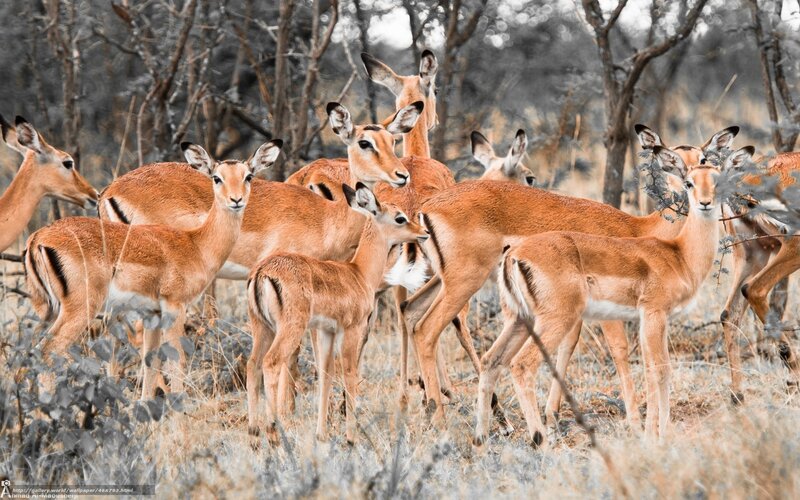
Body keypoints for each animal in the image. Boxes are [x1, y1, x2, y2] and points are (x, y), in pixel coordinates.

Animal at [26, 140, 282, 398]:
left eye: (248, 176)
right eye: (217, 177)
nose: (236, 200)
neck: (196, 244)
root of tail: (38, 238)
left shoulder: (152, 314)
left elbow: (150, 362)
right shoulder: (175, 306)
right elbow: (176, 360)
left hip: (48, 310)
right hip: (81, 309)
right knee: (47, 351)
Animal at [246, 183, 429, 444]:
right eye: (399, 217)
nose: (424, 232)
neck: (359, 273)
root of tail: (263, 271)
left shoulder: (327, 332)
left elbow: (325, 374)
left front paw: (322, 434)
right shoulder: (351, 330)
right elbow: (350, 373)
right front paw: (351, 438)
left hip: (262, 327)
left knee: (252, 365)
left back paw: (253, 435)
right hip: (289, 329)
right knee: (271, 363)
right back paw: (272, 433)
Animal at [401, 125, 741, 426]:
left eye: (703, 158)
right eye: (670, 162)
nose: (699, 198)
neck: (638, 228)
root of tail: (427, 207)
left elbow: (568, 347)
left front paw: (552, 414)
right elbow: (619, 352)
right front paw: (633, 420)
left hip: (445, 281)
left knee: (411, 312)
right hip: (465, 281)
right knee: (428, 330)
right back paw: (441, 418)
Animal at [474, 145, 753, 446]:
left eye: (717, 180)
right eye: (689, 182)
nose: (705, 203)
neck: (678, 255)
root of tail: (514, 255)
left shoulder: (651, 319)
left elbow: (650, 368)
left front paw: (650, 433)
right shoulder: (654, 313)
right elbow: (661, 370)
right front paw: (659, 436)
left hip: (519, 319)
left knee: (490, 360)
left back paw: (481, 440)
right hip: (554, 320)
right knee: (523, 365)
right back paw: (541, 442)